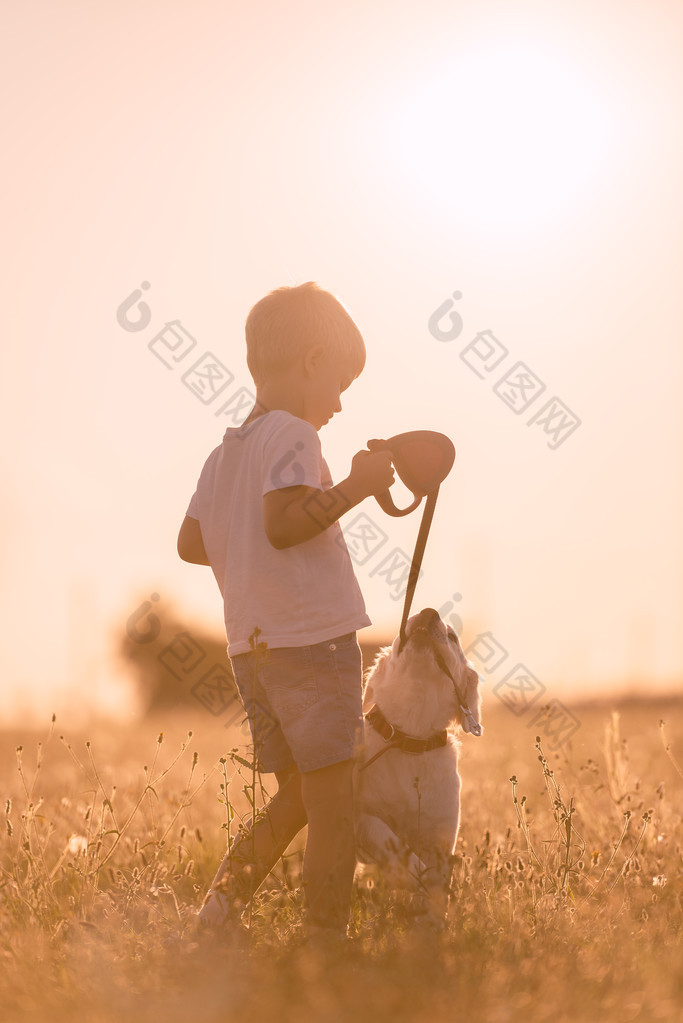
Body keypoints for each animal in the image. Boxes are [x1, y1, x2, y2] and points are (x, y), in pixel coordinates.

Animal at [355, 601, 482, 924]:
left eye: (452, 637)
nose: (428, 612)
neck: (409, 736)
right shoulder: (358, 815)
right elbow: (391, 841)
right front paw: (412, 876)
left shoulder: (441, 835)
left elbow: (436, 883)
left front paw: (432, 916)